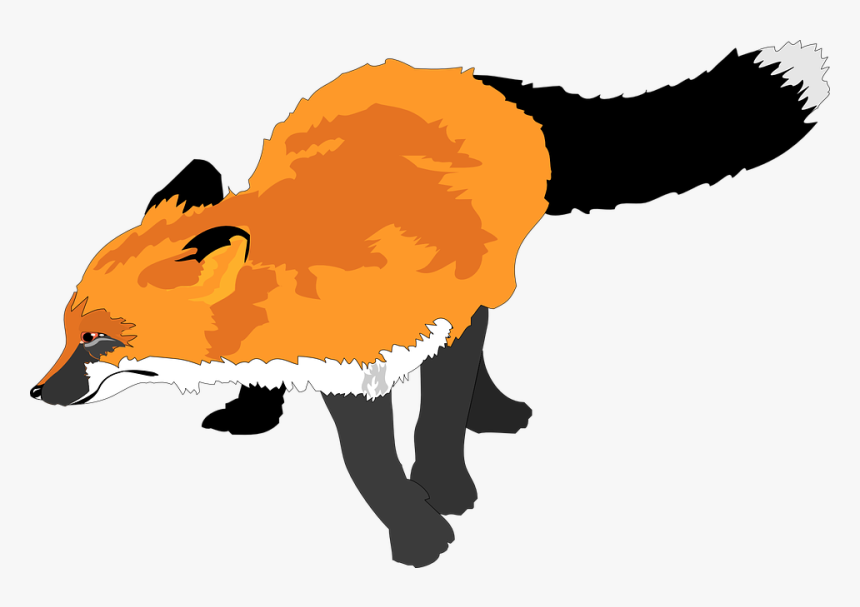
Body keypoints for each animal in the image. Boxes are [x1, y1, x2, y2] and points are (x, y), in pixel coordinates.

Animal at [30, 41, 829, 567]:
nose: (37, 393)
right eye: (68, 332)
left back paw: (495, 410)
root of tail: (468, 76)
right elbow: (367, 463)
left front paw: (440, 498)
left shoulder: (425, 332)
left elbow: (432, 423)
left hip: (487, 283)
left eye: (98, 339)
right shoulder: (344, 365)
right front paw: (414, 527)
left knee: (484, 348)